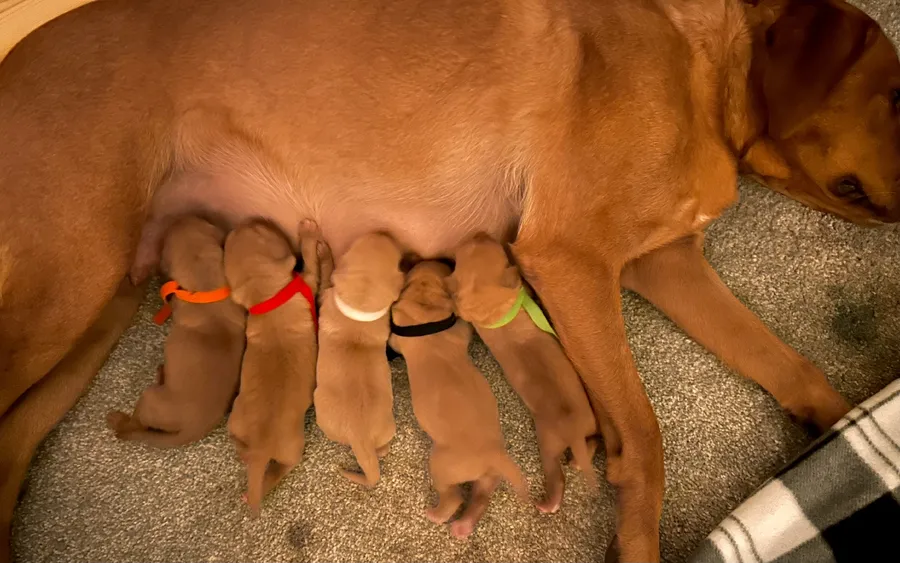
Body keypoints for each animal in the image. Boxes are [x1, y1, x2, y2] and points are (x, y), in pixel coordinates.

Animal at [106, 215, 244, 448]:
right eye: (200, 219)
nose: (182, 216)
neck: (205, 284)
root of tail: (192, 430)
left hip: (149, 398)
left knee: (134, 424)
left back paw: (117, 420)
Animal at [224, 219, 322, 517]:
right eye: (262, 231)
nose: (247, 220)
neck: (266, 295)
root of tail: (260, 448)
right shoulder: (308, 280)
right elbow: (310, 259)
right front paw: (308, 234)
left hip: (235, 419)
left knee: (239, 445)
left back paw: (244, 458)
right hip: (294, 448)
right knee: (282, 469)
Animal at [313, 232, 404, 487]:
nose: (383, 232)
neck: (358, 311)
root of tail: (359, 436)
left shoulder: (324, 294)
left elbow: (326, 273)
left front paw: (323, 251)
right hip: (388, 427)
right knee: (382, 450)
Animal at [389, 260, 529, 538]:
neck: (426, 296)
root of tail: (492, 454)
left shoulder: (399, 333)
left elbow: (393, 340)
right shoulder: (459, 328)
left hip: (441, 465)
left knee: (453, 499)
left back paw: (437, 514)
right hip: (488, 477)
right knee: (480, 498)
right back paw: (464, 526)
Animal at [449, 234, 599, 514]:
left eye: (475, 246)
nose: (479, 233)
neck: (495, 311)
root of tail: (573, 433)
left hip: (579, 431)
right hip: (550, 444)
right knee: (560, 474)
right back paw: (551, 499)